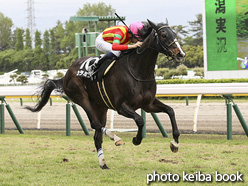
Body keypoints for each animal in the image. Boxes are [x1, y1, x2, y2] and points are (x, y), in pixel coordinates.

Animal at [26, 20, 186, 169]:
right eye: (163, 35)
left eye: (174, 33)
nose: (180, 54)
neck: (138, 71)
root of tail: (66, 74)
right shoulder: (121, 107)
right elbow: (140, 120)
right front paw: (136, 139)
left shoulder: (148, 104)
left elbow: (170, 110)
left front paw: (175, 143)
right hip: (81, 98)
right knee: (95, 124)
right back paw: (115, 138)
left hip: (100, 107)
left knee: (97, 135)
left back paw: (103, 163)